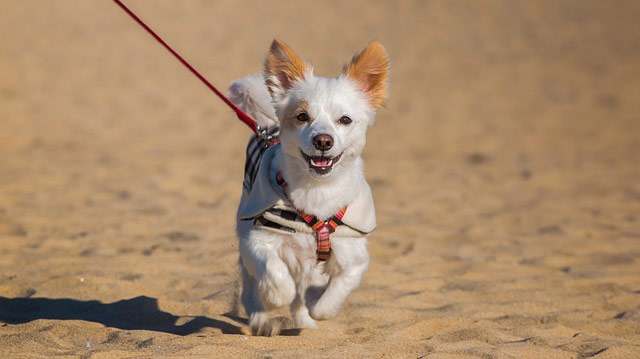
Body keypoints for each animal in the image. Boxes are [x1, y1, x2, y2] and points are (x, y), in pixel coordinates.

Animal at [230, 40, 390, 338]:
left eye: (345, 120)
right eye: (302, 116)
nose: (323, 140)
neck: (316, 191)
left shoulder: (354, 255)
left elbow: (334, 292)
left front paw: (318, 306)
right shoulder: (256, 239)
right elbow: (275, 273)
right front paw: (275, 295)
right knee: (252, 288)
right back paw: (262, 317)